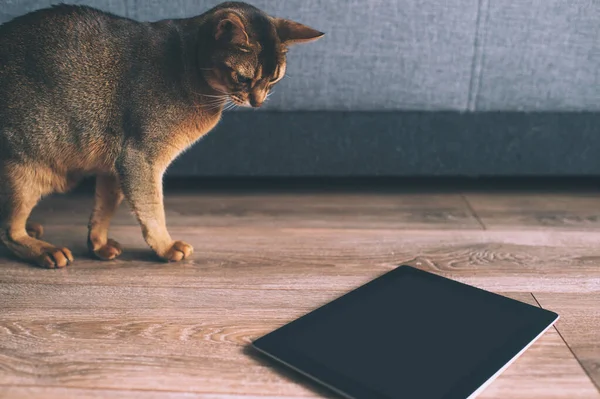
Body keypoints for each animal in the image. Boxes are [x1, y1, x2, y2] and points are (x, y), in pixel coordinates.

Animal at [0, 1, 324, 268]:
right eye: (243, 78)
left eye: (274, 79)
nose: (257, 102)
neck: (188, 65)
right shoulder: (140, 158)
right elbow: (153, 209)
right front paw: (165, 247)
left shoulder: (114, 163)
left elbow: (105, 207)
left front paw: (98, 244)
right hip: (23, 169)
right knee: (7, 231)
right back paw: (43, 249)